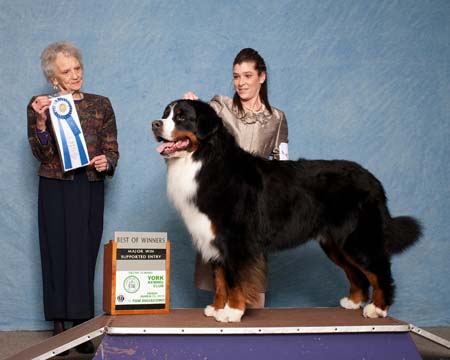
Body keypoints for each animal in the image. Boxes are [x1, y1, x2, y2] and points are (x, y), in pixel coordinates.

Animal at [152, 99, 422, 324]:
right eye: (165, 114)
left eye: (182, 116)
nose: (155, 124)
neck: (204, 160)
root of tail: (372, 179)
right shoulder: (214, 238)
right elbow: (220, 281)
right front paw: (217, 308)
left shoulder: (236, 240)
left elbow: (234, 279)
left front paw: (232, 312)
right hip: (335, 243)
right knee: (356, 273)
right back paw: (353, 302)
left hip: (357, 239)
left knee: (379, 271)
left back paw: (378, 308)